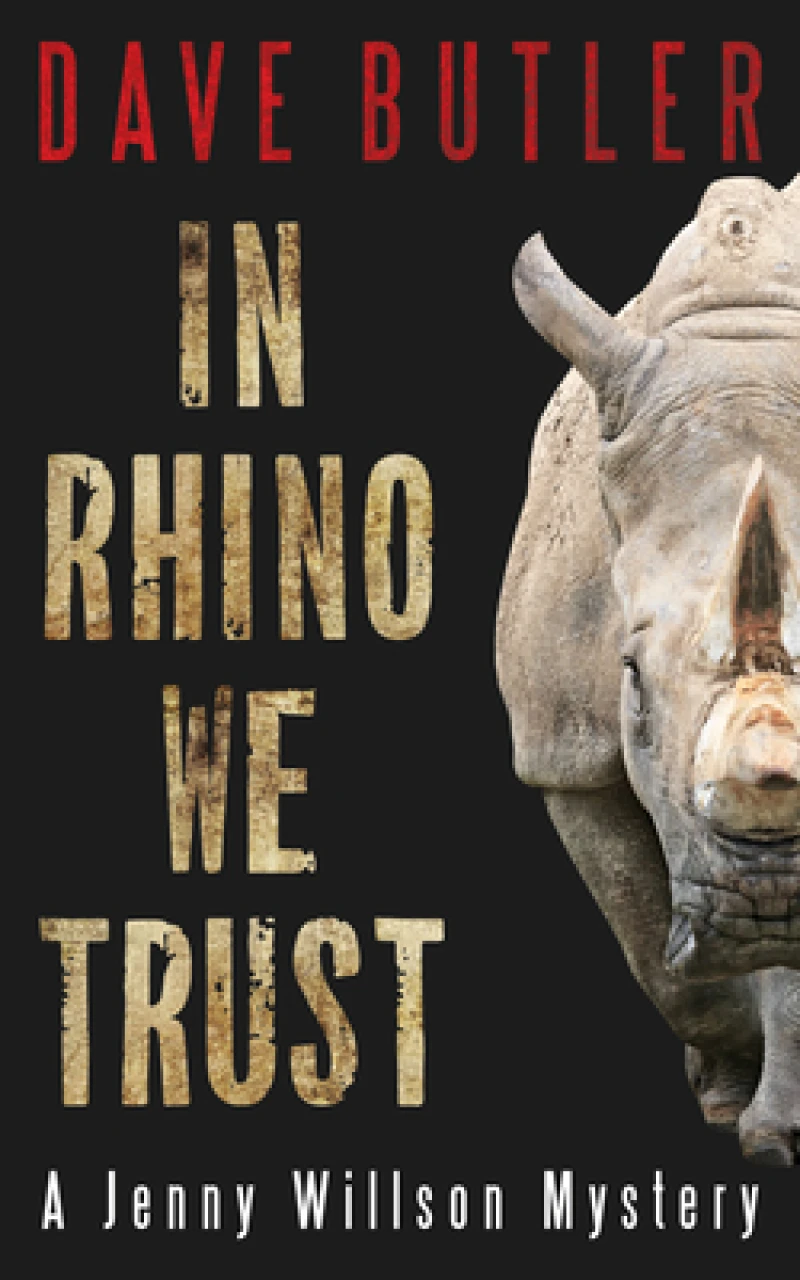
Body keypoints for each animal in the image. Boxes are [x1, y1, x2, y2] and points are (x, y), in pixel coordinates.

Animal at [496, 175, 800, 1166]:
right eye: (629, 675)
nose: (765, 904)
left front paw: (773, 1132)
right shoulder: (564, 744)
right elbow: (653, 943)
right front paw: (729, 1097)